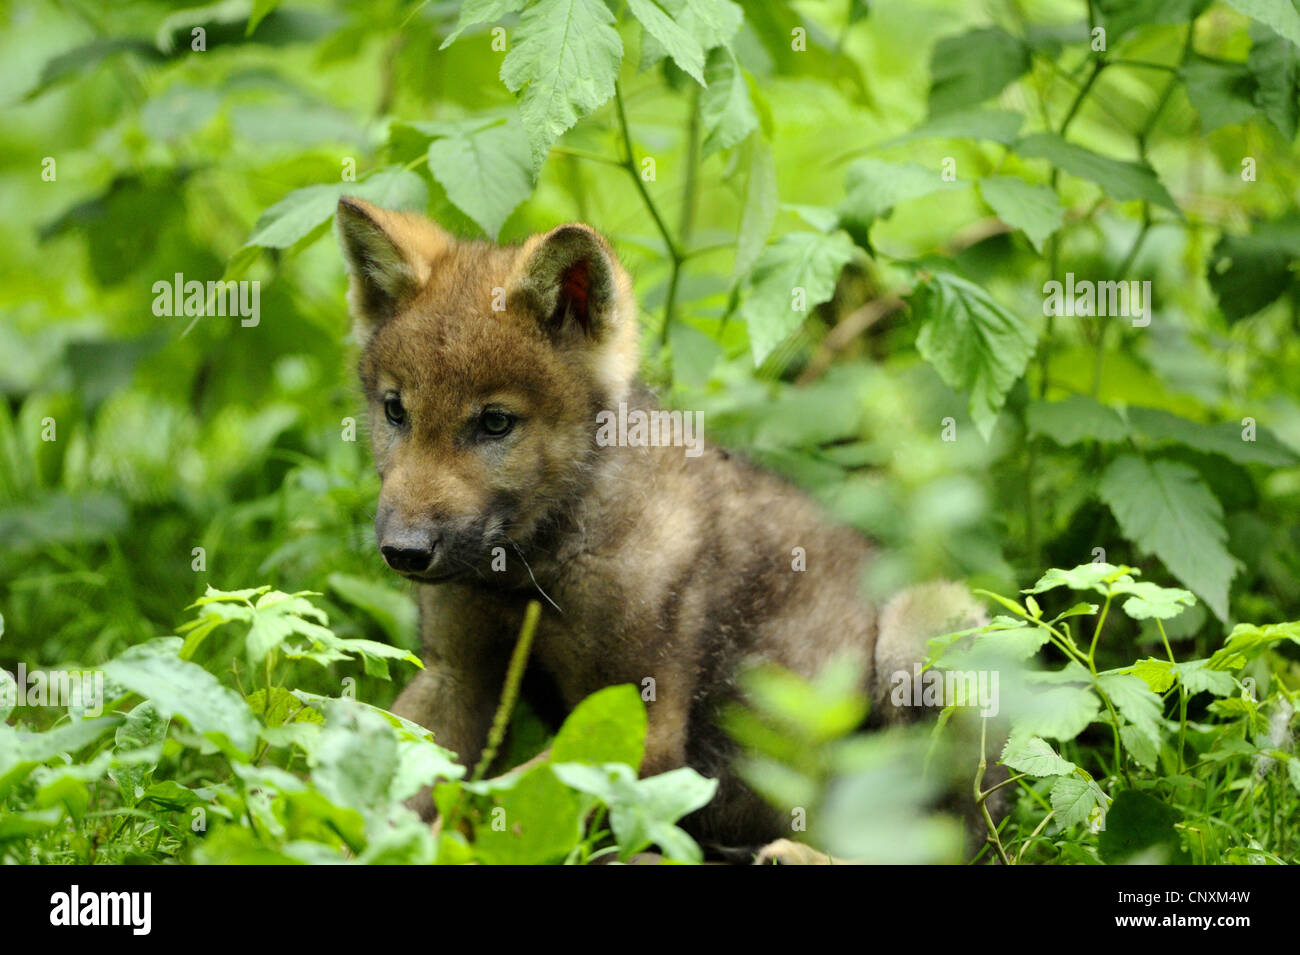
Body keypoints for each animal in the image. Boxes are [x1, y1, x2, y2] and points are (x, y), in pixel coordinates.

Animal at [336, 196, 988, 854]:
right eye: (395, 411)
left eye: (495, 422)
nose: (403, 551)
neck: (531, 572)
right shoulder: (456, 679)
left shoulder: (646, 725)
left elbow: (499, 815)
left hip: (923, 630)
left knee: (944, 831)